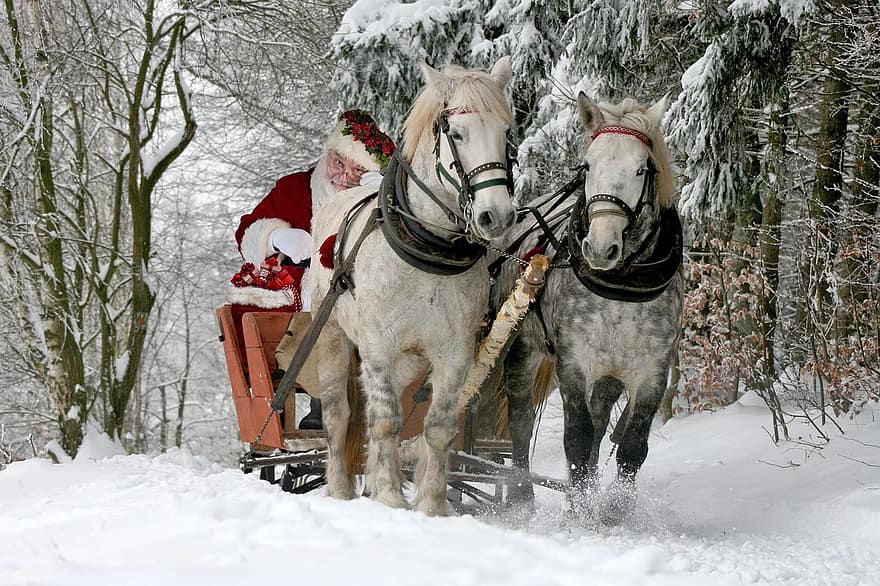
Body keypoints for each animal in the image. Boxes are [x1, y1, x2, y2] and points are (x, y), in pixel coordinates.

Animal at [498, 93, 684, 524]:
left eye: (641, 168)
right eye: (587, 166)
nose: (600, 248)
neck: (621, 286)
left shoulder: (652, 370)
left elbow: (631, 445)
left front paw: (613, 509)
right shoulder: (573, 362)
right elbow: (577, 439)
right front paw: (578, 512)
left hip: (610, 374)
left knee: (601, 425)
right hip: (522, 349)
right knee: (520, 419)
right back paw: (520, 496)